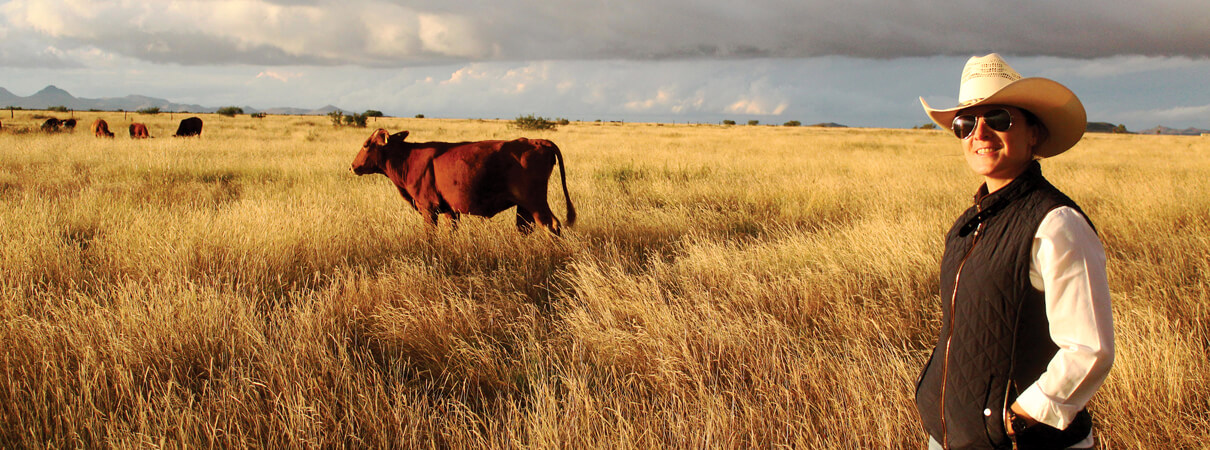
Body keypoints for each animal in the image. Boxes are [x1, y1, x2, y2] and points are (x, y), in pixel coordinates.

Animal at [350, 128, 575, 233]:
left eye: (366, 144)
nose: (352, 166)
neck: (408, 158)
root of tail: (537, 141)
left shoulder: (428, 208)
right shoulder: (450, 211)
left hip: (535, 201)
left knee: (551, 225)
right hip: (525, 206)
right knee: (525, 229)